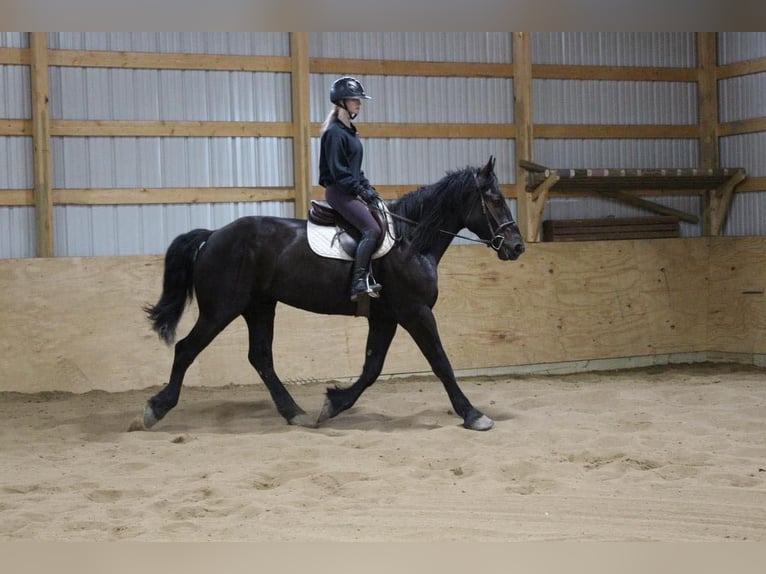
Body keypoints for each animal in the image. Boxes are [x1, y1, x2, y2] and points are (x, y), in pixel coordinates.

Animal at [134, 156, 524, 432]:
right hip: (222, 309)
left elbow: (371, 368)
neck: (411, 242)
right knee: (187, 349)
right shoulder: (415, 312)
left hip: (259, 307)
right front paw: (473, 414)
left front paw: (334, 403)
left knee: (260, 358)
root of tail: (213, 235)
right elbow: (441, 362)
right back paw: (155, 409)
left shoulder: (386, 317)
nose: (517, 247)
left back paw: (294, 413)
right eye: (494, 199)